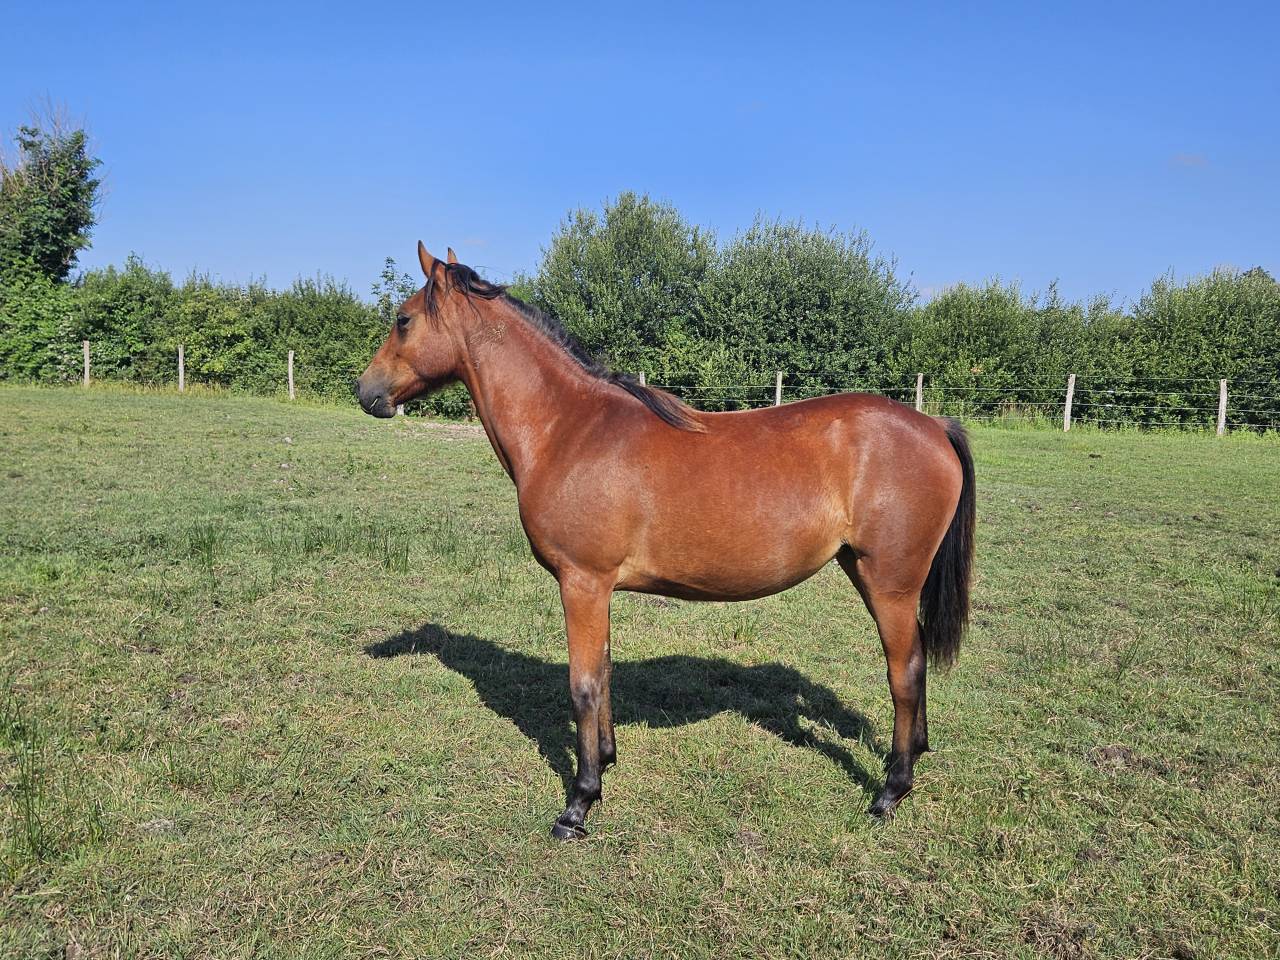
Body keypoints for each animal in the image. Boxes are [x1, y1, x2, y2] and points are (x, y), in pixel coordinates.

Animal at [356, 243, 975, 839]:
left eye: (403, 319)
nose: (365, 392)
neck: (568, 428)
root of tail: (933, 426)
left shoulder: (582, 582)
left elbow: (583, 684)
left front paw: (579, 804)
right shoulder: (598, 589)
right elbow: (604, 673)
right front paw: (605, 762)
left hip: (889, 582)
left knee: (904, 672)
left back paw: (891, 791)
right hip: (869, 573)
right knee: (916, 659)